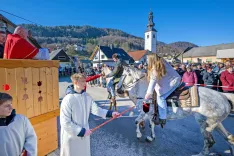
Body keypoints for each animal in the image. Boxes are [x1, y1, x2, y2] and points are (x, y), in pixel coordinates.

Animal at [103, 66, 234, 156]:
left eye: (125, 74)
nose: (119, 90)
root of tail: (222, 96)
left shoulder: (146, 112)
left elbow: (137, 121)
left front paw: (139, 134)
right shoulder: (151, 114)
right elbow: (151, 124)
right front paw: (151, 137)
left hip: (205, 123)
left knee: (209, 141)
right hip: (216, 123)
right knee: (229, 137)